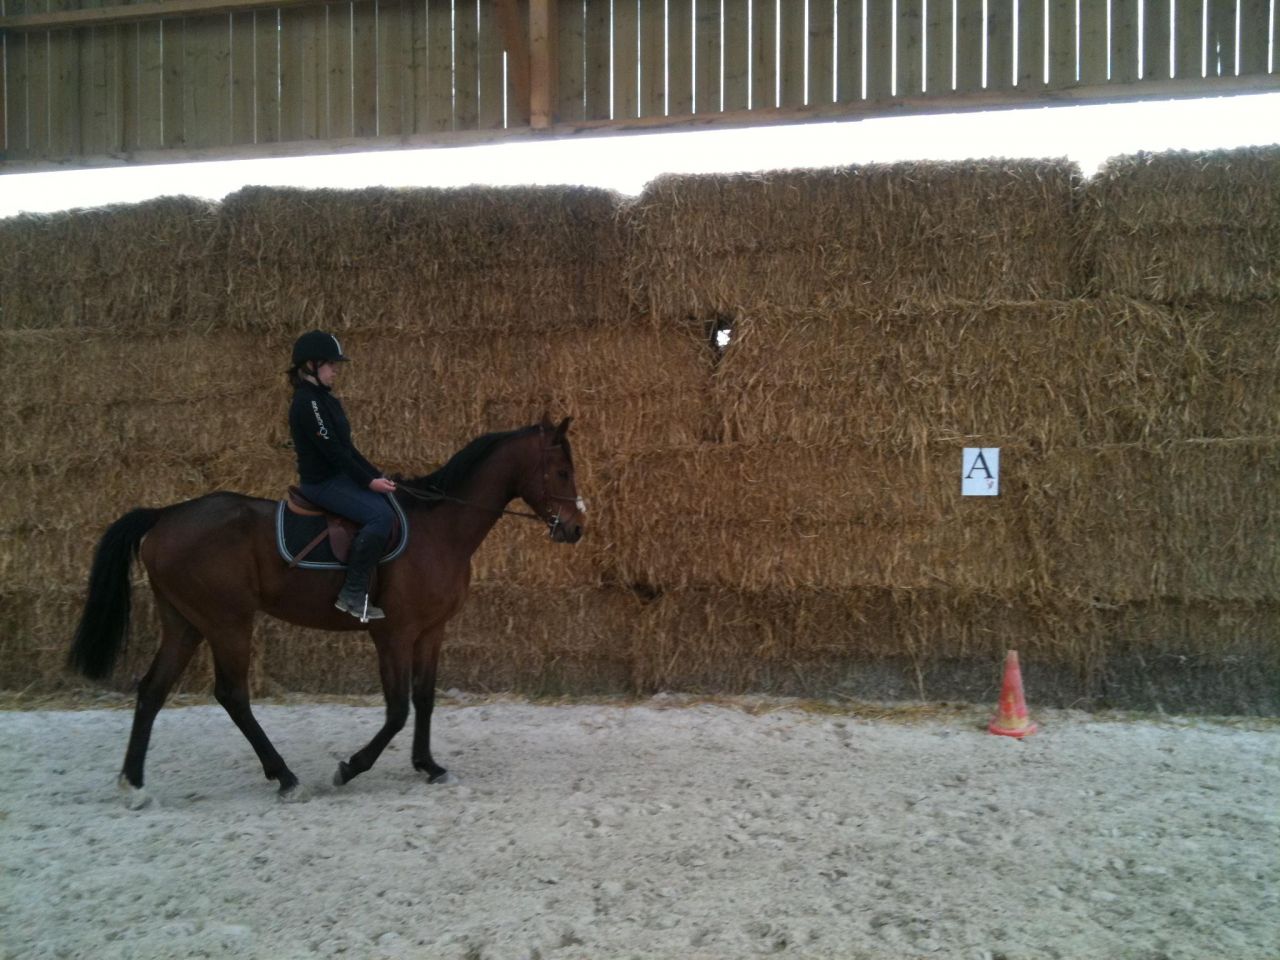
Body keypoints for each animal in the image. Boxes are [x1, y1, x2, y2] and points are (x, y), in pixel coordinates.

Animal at [67, 415, 585, 807]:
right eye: (562, 472)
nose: (577, 528)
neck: (439, 529)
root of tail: (165, 515)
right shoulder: (393, 634)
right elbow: (397, 709)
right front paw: (350, 768)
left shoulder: (430, 632)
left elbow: (424, 699)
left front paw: (429, 766)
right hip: (227, 622)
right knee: (232, 694)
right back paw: (286, 778)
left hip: (185, 622)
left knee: (152, 691)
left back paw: (134, 785)